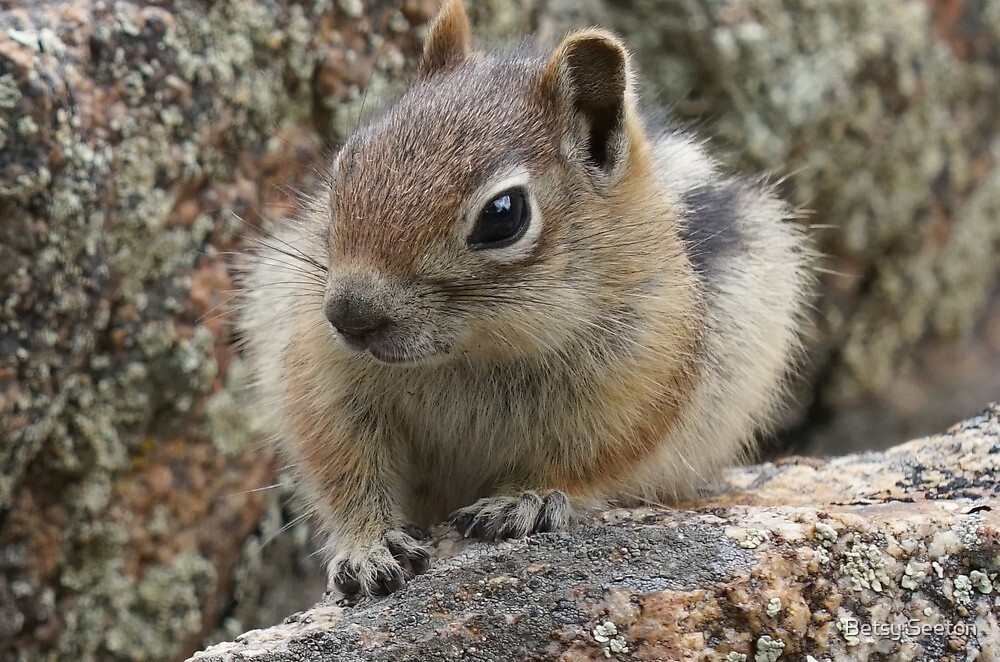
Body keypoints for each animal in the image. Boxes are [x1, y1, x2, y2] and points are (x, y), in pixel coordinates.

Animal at [238, 0, 812, 598]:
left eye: (503, 214)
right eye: (346, 163)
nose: (347, 317)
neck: (475, 354)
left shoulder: (636, 391)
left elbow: (585, 463)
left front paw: (525, 500)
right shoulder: (323, 379)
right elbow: (342, 469)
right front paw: (366, 547)